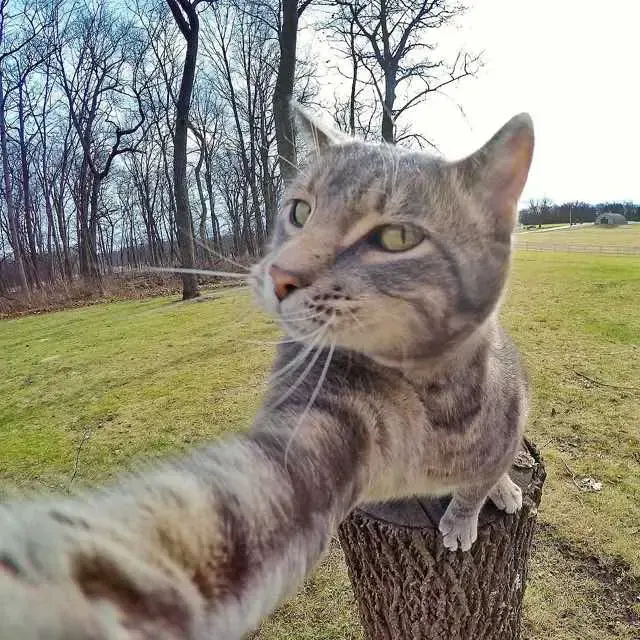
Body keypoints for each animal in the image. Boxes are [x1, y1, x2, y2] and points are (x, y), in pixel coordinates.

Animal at [0, 106, 532, 640]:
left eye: (397, 237)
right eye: (300, 212)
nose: (280, 274)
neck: (430, 397)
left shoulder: (504, 423)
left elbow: (476, 484)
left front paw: (467, 514)